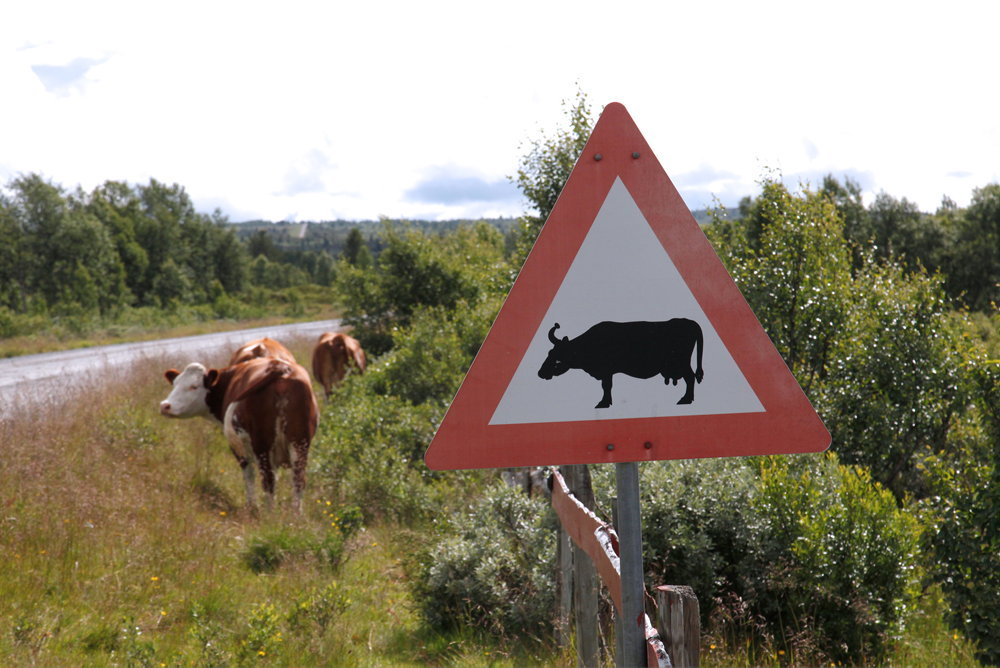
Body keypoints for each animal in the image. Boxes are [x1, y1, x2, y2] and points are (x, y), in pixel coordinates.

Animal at [159, 356, 319, 511]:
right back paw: (296, 515)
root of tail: (281, 368)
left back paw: (270, 516)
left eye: (194, 386)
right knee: (298, 480)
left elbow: (248, 475)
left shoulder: (238, 449)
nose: (165, 405)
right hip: (299, 443)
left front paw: (251, 506)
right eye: (175, 384)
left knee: (268, 480)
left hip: (261, 445)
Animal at [537, 319, 704, 409]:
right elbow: (607, 386)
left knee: (690, 378)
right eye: (549, 353)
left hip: (682, 364)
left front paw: (603, 403)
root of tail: (689, 322)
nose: (540, 373)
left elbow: (606, 386)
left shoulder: (606, 371)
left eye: (557, 358)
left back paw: (685, 399)